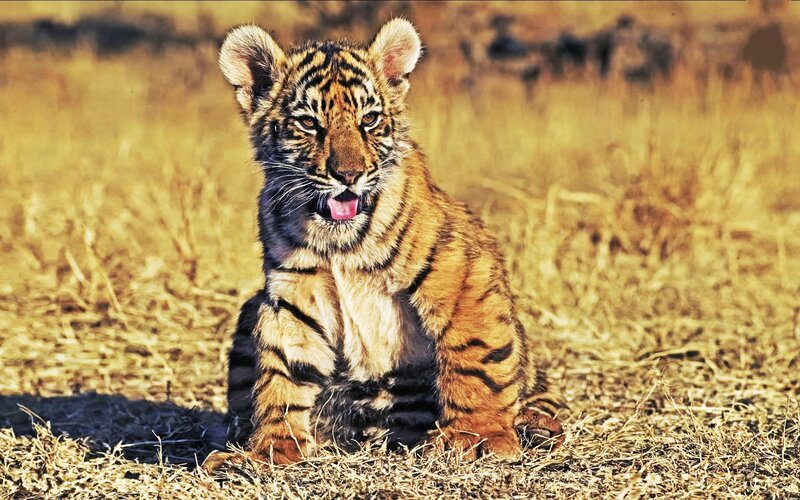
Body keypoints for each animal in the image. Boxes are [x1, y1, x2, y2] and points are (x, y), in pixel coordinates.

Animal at [203, 19, 564, 470]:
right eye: (309, 124)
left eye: (370, 119)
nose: (348, 175)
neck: (337, 240)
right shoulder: (294, 293)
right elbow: (282, 371)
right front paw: (271, 450)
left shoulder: (462, 271)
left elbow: (476, 355)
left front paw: (478, 439)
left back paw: (534, 427)